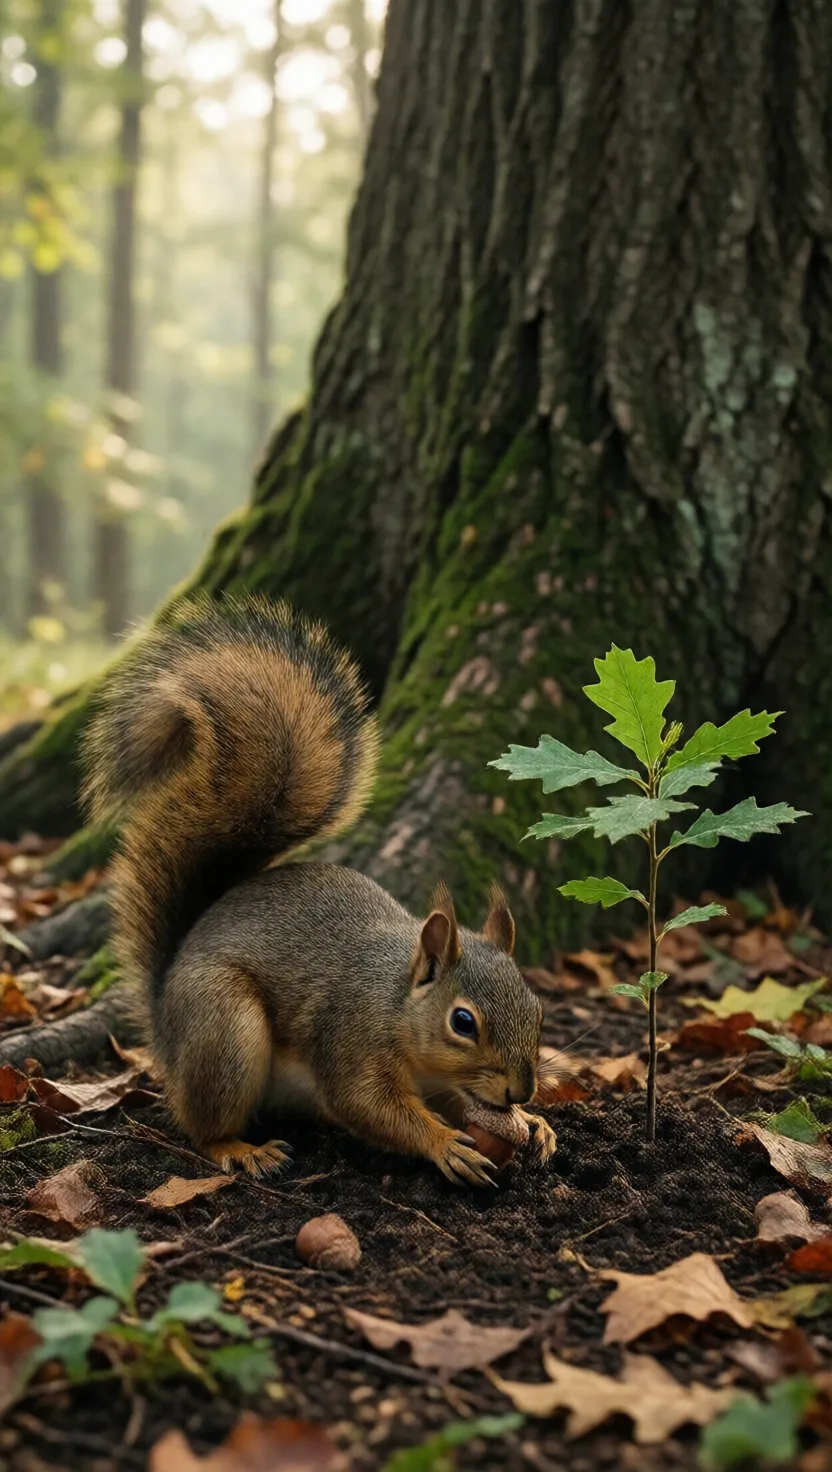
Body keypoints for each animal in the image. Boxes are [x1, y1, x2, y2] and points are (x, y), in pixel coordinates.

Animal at [83, 594, 556, 1187]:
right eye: (463, 1022)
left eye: (539, 1011)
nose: (523, 1089)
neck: (397, 1004)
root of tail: (163, 1014)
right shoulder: (350, 1041)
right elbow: (368, 1105)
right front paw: (445, 1142)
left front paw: (534, 1125)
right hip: (225, 1027)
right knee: (201, 1123)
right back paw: (239, 1149)